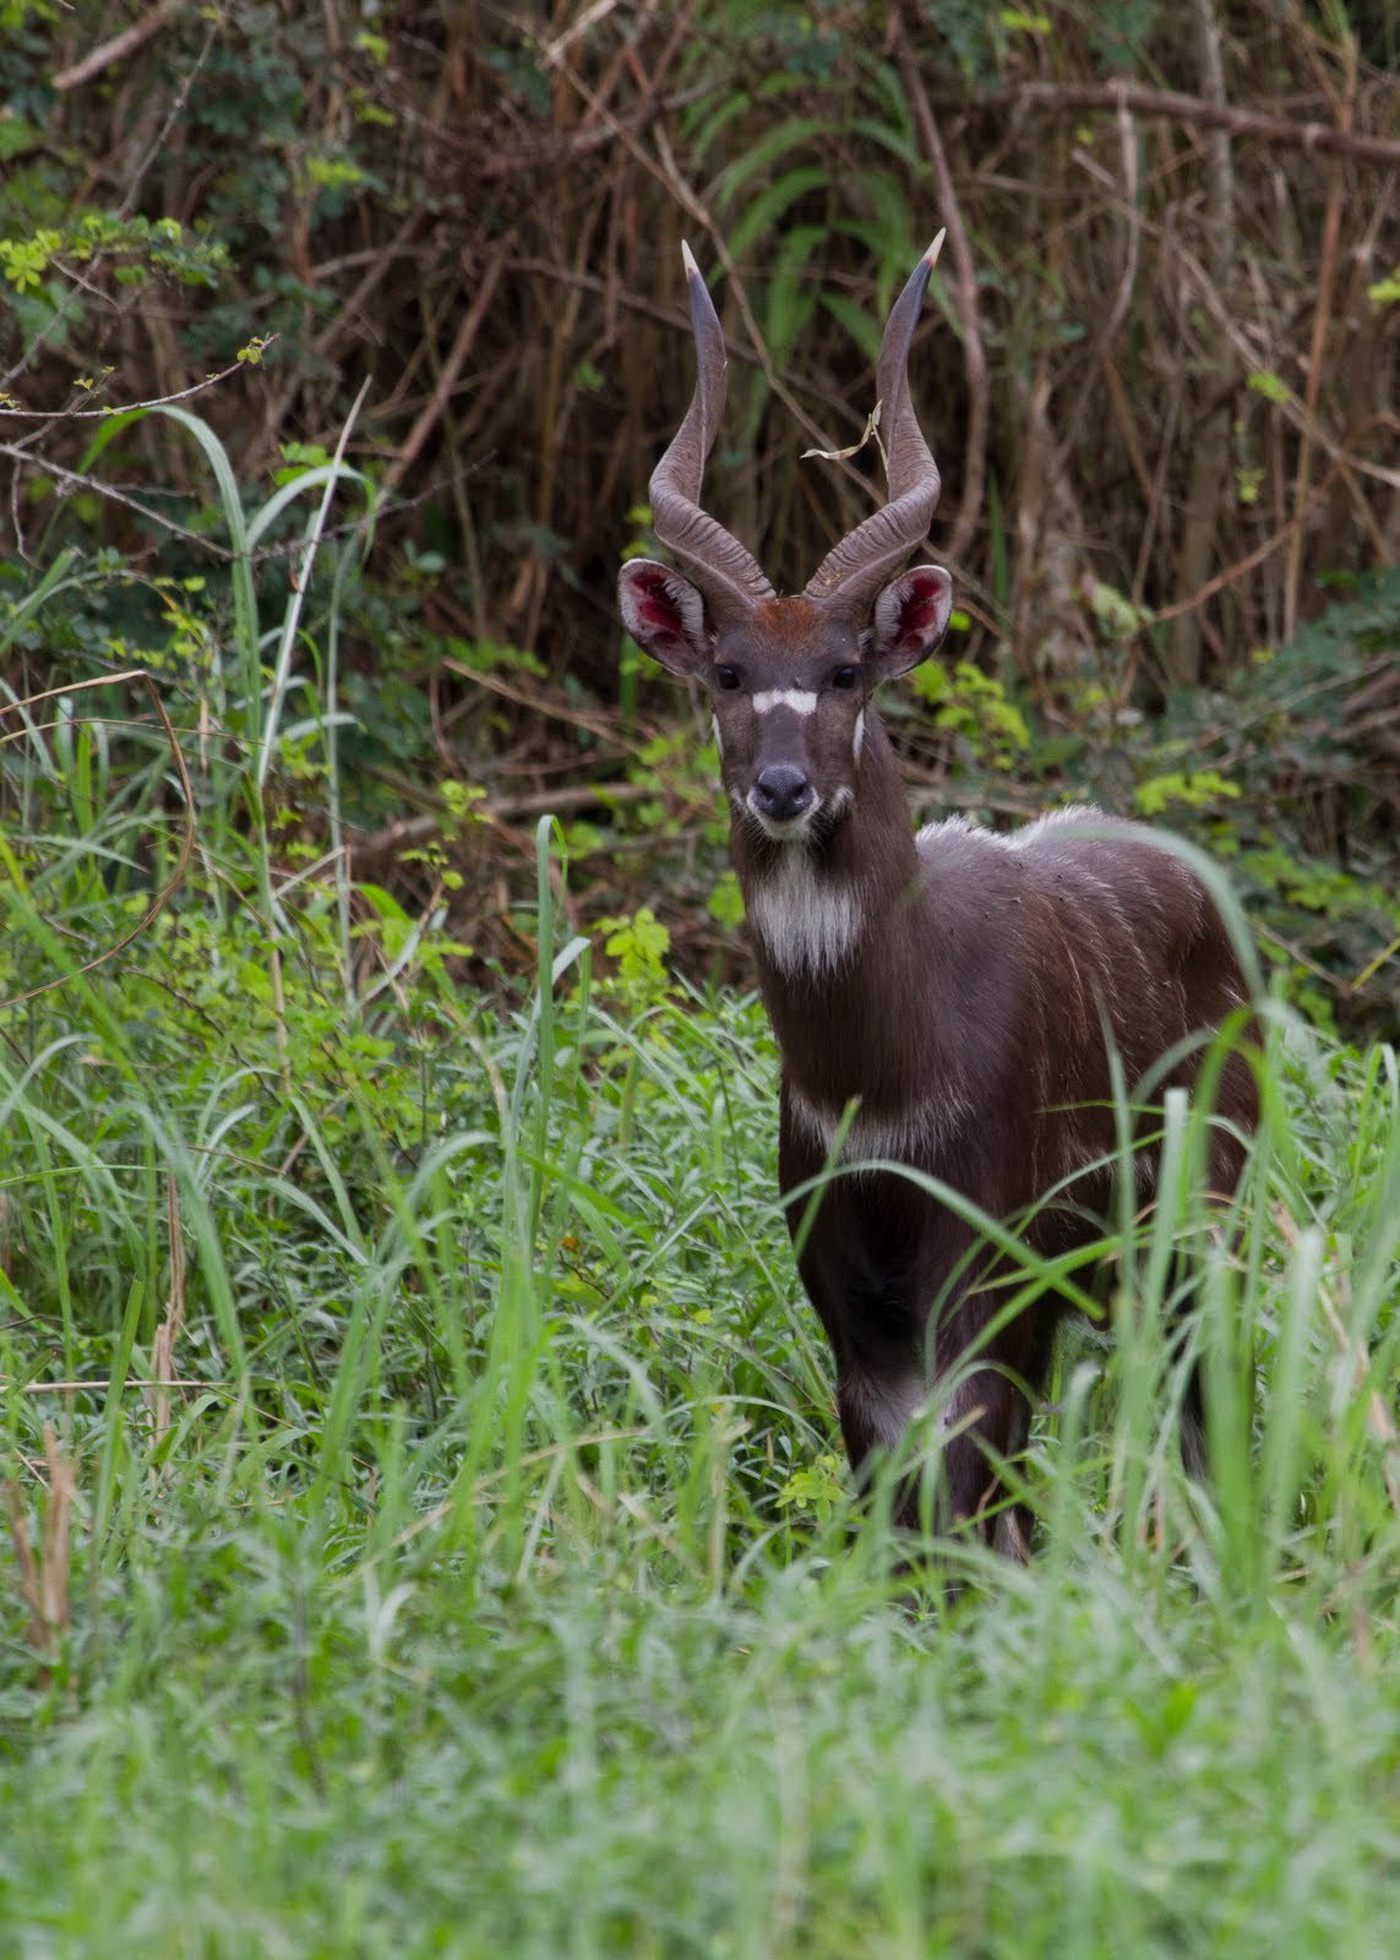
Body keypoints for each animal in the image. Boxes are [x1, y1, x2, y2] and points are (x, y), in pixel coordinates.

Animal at [615, 237, 1247, 1536]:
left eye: (847, 668)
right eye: (725, 671)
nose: (784, 786)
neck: (878, 1083)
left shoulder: (983, 1274)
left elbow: (962, 1501)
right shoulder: (851, 1301)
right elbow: (898, 1508)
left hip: (1195, 1225)